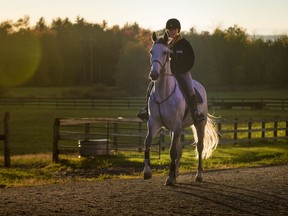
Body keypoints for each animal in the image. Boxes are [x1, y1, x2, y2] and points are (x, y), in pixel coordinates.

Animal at [144, 32, 218, 186]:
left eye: (166, 52)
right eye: (151, 52)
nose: (154, 74)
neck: (163, 93)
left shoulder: (176, 125)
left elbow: (172, 151)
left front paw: (170, 178)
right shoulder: (154, 124)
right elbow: (147, 143)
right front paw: (147, 172)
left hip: (199, 125)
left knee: (199, 147)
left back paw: (198, 175)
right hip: (176, 129)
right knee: (179, 150)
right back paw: (176, 173)